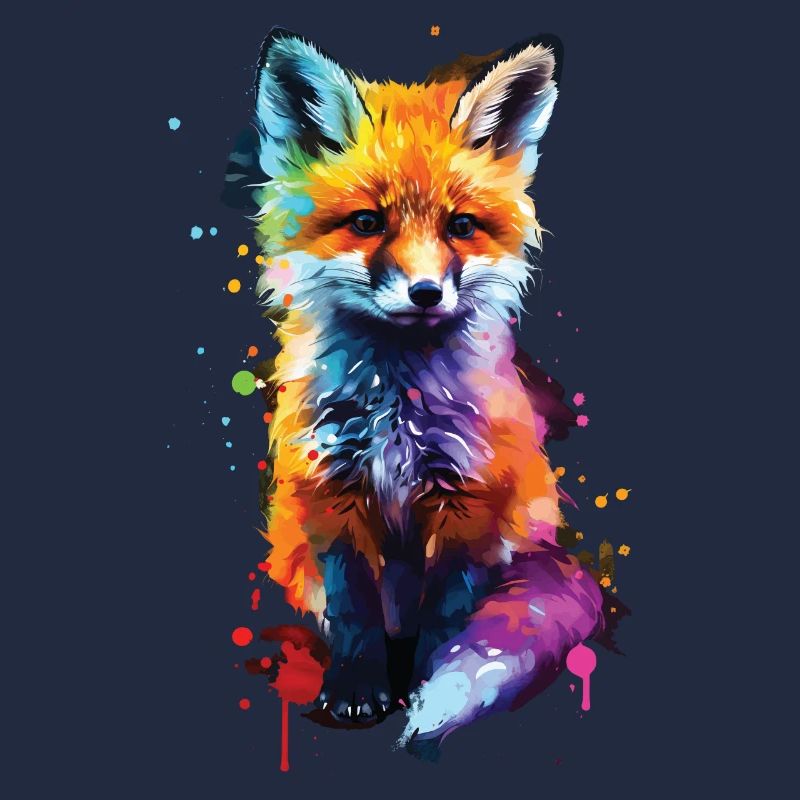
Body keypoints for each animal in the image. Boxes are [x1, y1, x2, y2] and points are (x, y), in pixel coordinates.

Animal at [240, 27, 606, 759]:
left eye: (460, 226)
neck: (396, 409)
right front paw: (356, 690)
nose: (427, 293)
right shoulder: (331, 493)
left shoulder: (469, 499)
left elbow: (446, 620)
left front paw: (419, 687)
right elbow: (353, 611)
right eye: (366, 222)